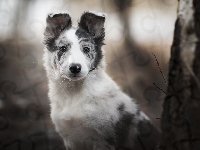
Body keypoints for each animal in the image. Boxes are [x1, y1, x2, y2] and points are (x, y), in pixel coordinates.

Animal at [43, 11, 160, 149]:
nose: (75, 68)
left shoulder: (103, 140)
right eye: (63, 48)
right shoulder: (70, 140)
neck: (75, 92)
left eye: (86, 49)